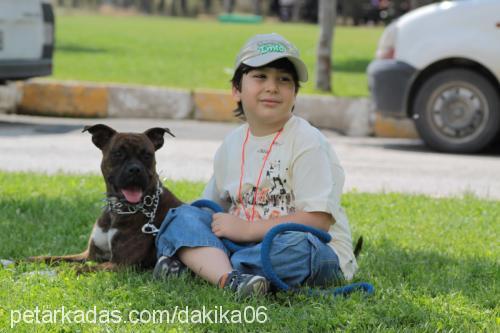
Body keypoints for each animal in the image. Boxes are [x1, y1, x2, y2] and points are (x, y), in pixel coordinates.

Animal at [28, 123, 182, 272]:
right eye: (118, 153)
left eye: (147, 155)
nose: (135, 169)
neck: (120, 210)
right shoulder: (90, 255)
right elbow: (54, 258)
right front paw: (29, 260)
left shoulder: (120, 264)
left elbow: (80, 268)